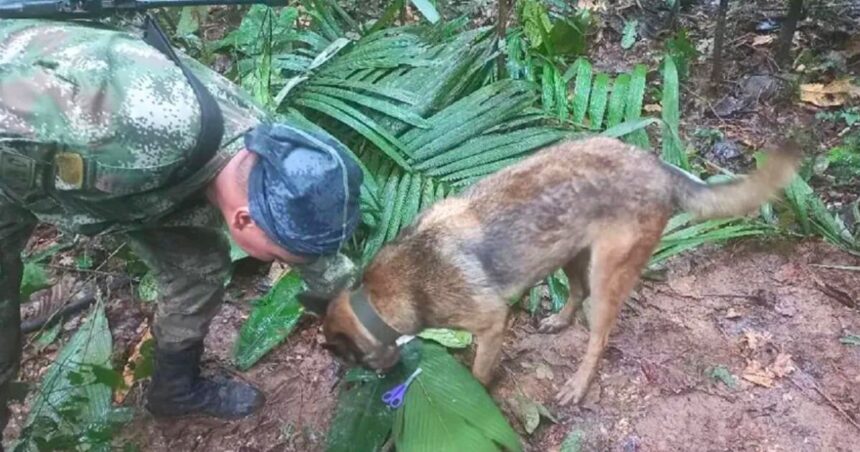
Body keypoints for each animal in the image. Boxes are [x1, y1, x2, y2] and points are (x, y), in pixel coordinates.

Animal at [322, 136, 800, 404]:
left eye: (347, 359)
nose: (375, 380)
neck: (382, 296)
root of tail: (658, 166)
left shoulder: (491, 324)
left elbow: (478, 373)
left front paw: (476, 395)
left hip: (607, 275)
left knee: (599, 336)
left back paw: (578, 384)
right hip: (570, 252)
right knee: (576, 292)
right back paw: (558, 320)